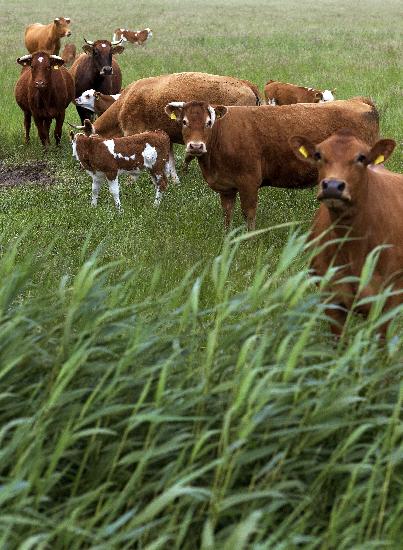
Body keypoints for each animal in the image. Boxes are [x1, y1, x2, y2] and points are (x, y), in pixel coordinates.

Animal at [72, 71, 262, 182]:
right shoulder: (166, 136)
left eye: (85, 145)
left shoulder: (133, 132)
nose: (81, 166)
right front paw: (174, 180)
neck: (124, 102)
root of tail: (246, 84)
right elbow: (169, 160)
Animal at [163, 98, 378, 230]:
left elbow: (248, 213)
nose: (196, 146)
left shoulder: (248, 182)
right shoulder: (226, 187)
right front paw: (227, 238)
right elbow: (227, 213)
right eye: (184, 122)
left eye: (209, 122)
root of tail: (359, 101)